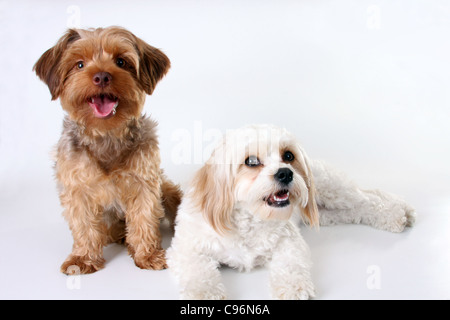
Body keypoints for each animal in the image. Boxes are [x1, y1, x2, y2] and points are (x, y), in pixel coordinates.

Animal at [33, 26, 181, 274]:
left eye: (121, 61)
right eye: (80, 64)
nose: (102, 76)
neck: (106, 135)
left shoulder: (144, 183)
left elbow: (144, 219)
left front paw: (148, 254)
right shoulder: (77, 189)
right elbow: (83, 225)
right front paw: (83, 258)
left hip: (167, 189)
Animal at [166, 125, 414, 300]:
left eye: (288, 156)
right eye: (251, 161)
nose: (285, 173)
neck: (249, 218)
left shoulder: (289, 240)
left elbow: (291, 265)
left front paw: (294, 288)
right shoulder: (186, 248)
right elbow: (198, 271)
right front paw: (204, 294)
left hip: (335, 191)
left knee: (369, 198)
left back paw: (397, 213)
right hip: (328, 214)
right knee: (358, 208)